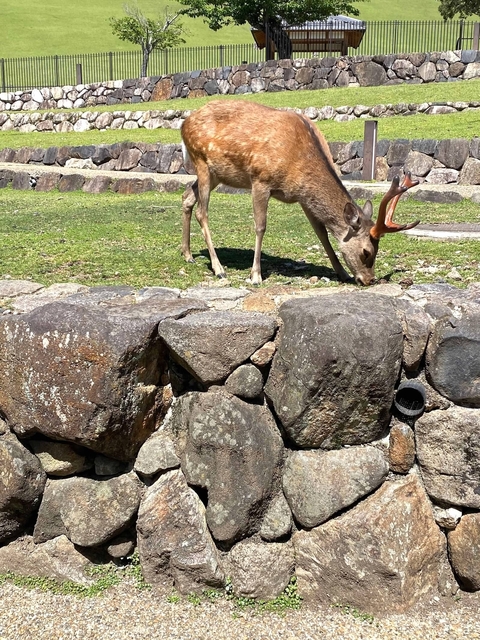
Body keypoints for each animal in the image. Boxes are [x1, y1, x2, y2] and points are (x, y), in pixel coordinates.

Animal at [181, 100, 420, 286]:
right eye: (366, 252)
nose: (369, 279)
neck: (299, 162)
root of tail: (184, 123)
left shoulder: (302, 197)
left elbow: (321, 233)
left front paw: (342, 272)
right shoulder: (260, 180)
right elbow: (260, 226)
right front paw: (256, 275)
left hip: (216, 174)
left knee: (187, 196)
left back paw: (188, 254)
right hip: (201, 161)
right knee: (202, 212)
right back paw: (218, 268)